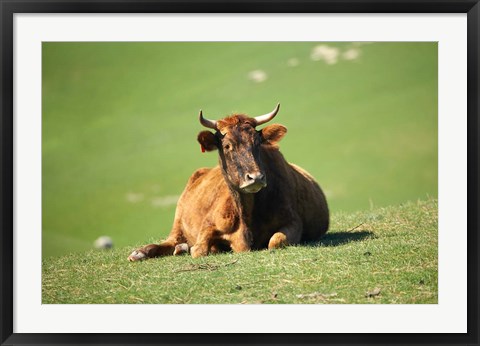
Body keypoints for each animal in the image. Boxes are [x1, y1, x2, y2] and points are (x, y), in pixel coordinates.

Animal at [128, 104, 330, 260]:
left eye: (257, 143)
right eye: (226, 145)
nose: (256, 177)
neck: (247, 213)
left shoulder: (293, 221)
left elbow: (275, 241)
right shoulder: (209, 224)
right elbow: (199, 250)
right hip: (178, 221)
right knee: (170, 242)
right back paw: (141, 252)